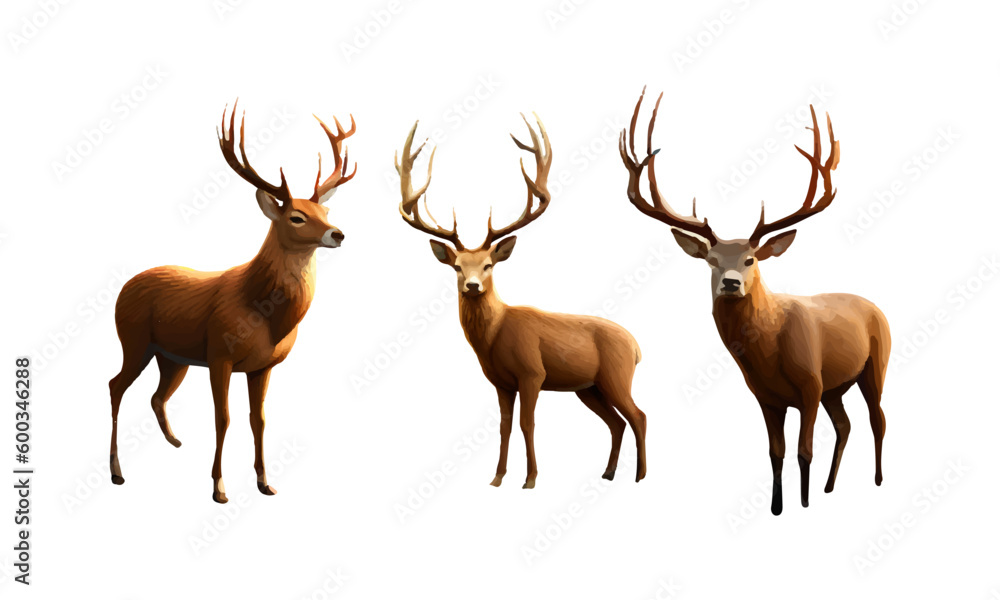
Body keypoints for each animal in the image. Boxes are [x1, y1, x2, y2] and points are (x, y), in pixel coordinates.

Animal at [109, 101, 356, 503]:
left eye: (326, 213)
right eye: (296, 216)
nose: (338, 234)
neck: (263, 312)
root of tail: (124, 287)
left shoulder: (263, 366)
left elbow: (259, 419)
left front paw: (265, 483)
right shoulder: (219, 355)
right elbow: (222, 418)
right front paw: (219, 487)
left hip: (172, 357)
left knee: (157, 396)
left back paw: (175, 442)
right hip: (133, 340)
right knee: (115, 386)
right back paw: (117, 472)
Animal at [394, 115, 647, 488]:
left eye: (488, 265)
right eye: (457, 266)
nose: (472, 285)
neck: (494, 337)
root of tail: (636, 346)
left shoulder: (532, 372)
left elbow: (528, 424)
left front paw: (530, 479)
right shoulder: (501, 382)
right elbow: (504, 427)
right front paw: (497, 478)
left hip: (616, 375)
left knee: (638, 416)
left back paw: (640, 476)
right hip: (588, 388)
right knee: (616, 422)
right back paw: (608, 472)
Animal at [619, 88, 890, 515]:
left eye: (750, 259)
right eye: (711, 260)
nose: (730, 283)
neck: (770, 352)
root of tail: (875, 307)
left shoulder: (811, 384)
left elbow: (804, 451)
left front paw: (803, 504)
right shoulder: (766, 397)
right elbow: (775, 453)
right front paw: (778, 507)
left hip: (875, 363)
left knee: (878, 419)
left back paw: (876, 480)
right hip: (836, 387)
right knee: (845, 425)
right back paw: (831, 486)